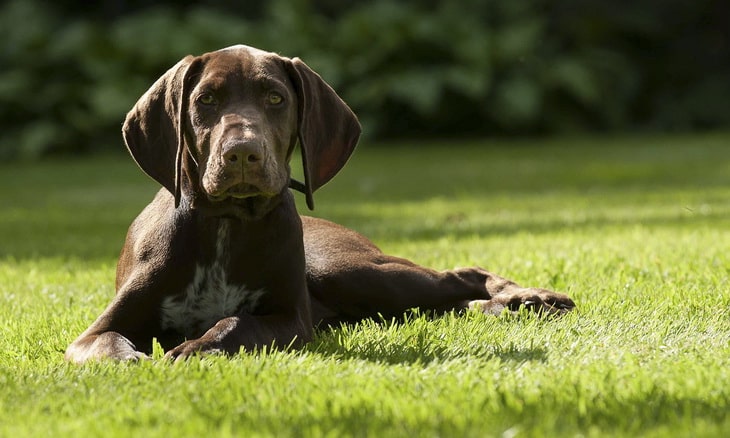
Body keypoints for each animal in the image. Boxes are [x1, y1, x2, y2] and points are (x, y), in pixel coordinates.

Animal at [65, 46, 572, 364]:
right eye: (205, 100)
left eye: (275, 98)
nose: (242, 154)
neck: (226, 224)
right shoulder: (93, 332)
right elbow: (106, 344)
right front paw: (130, 359)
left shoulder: (290, 319)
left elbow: (235, 323)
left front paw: (194, 348)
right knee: (446, 300)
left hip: (347, 271)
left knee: (459, 275)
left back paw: (531, 297)